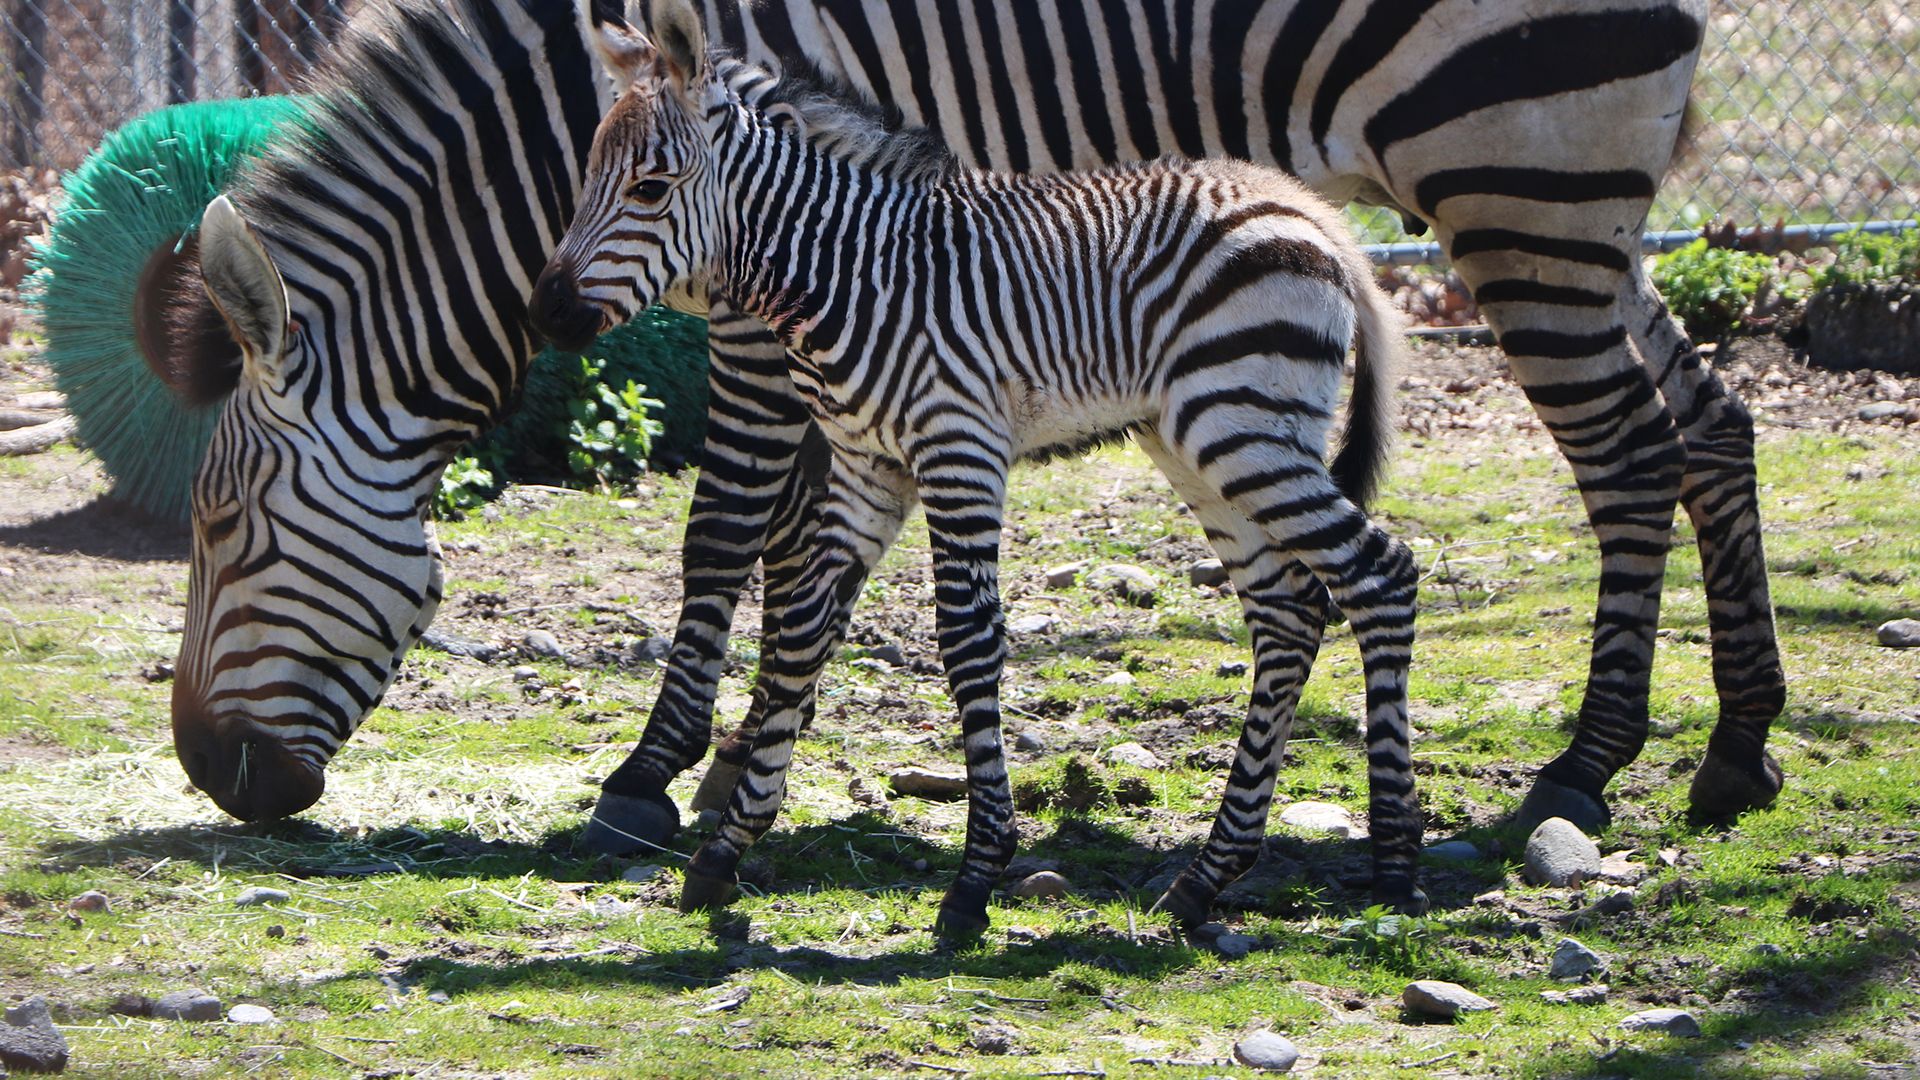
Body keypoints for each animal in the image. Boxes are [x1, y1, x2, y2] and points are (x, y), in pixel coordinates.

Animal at [532, 0, 1422, 934]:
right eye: (590, 177)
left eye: (650, 189)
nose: (545, 314)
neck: (851, 269)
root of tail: (1314, 216)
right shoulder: (867, 468)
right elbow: (803, 632)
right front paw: (727, 848)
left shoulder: (957, 446)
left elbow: (966, 639)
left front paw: (976, 875)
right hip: (1202, 443)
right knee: (1289, 612)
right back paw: (1207, 875)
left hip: (1244, 430)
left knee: (1380, 575)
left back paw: (1395, 864)